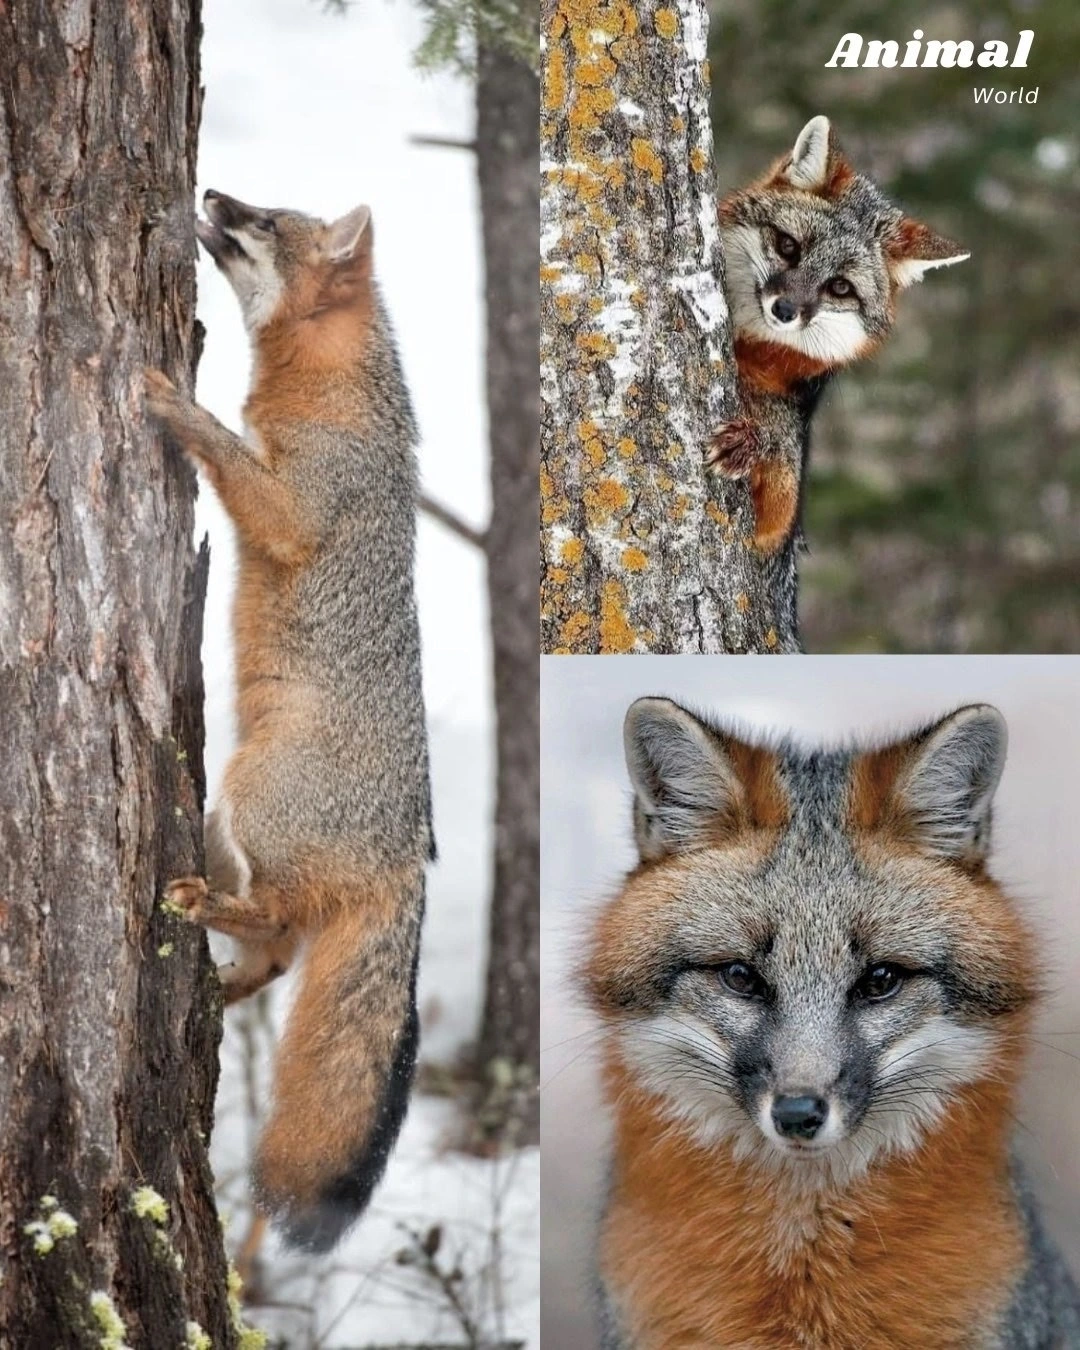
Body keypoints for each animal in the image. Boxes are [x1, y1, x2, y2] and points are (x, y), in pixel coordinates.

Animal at [143, 190, 433, 1252]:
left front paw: (180, 408)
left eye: (266, 221)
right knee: (274, 959)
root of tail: (407, 852)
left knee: (272, 923)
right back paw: (215, 992)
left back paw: (200, 921)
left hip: (246, 800)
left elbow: (228, 453)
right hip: (225, 823)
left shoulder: (291, 505)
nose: (212, 195)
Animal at [705, 115, 967, 572]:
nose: (784, 310)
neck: (748, 350)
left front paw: (754, 439)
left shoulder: (779, 522)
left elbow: (781, 453)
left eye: (840, 287)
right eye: (788, 246)